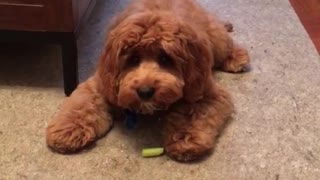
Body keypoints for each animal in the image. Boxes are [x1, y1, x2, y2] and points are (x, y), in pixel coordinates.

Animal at [45, 0, 250, 162]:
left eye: (165, 59)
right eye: (133, 59)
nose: (145, 92)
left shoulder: (205, 91)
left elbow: (192, 114)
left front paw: (186, 138)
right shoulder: (101, 83)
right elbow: (83, 105)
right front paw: (69, 129)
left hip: (216, 40)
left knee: (226, 43)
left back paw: (237, 57)